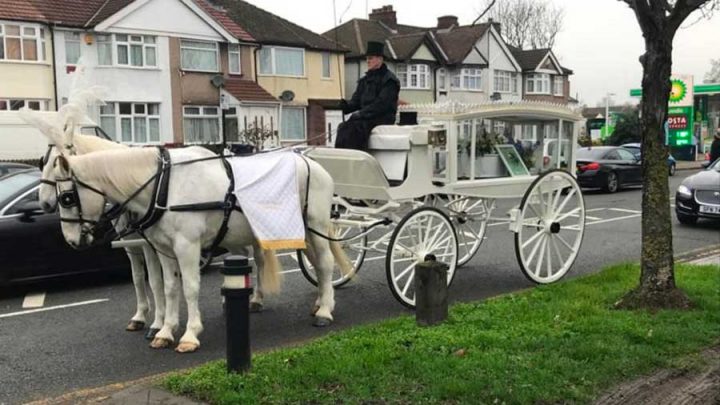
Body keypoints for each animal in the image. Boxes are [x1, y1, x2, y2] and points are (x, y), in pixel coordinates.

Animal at [34, 122, 354, 350]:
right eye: (41, 162)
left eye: (66, 198)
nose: (72, 241)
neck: (163, 185)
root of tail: (314, 163)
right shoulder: (161, 248)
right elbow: (167, 287)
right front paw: (164, 330)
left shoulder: (186, 247)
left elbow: (188, 287)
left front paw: (189, 333)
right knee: (296, 263)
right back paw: (306, 301)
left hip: (315, 223)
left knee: (325, 263)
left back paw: (325, 310)